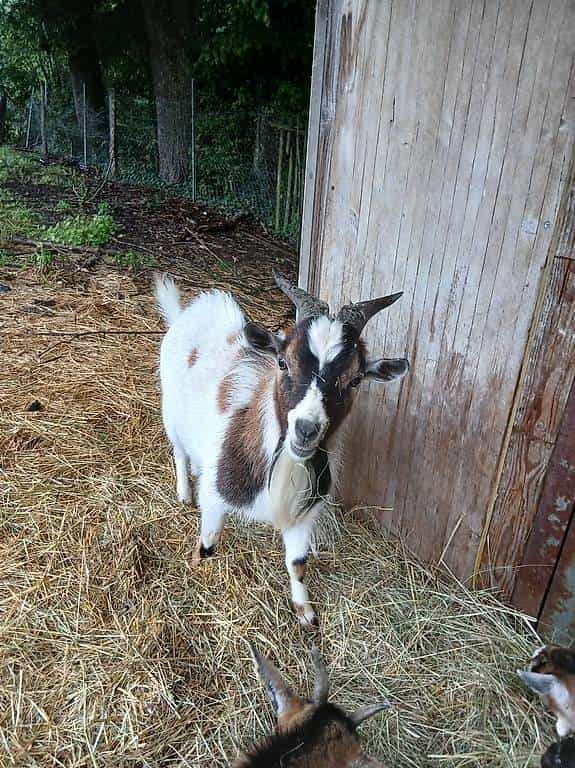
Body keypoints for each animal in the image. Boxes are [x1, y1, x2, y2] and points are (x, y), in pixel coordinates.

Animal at [154, 270, 408, 627]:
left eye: (355, 379)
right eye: (283, 362)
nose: (306, 430)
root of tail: (190, 312)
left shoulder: (303, 514)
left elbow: (298, 563)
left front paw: (306, 613)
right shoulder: (216, 497)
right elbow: (208, 542)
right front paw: (194, 568)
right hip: (170, 412)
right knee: (178, 450)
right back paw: (183, 491)